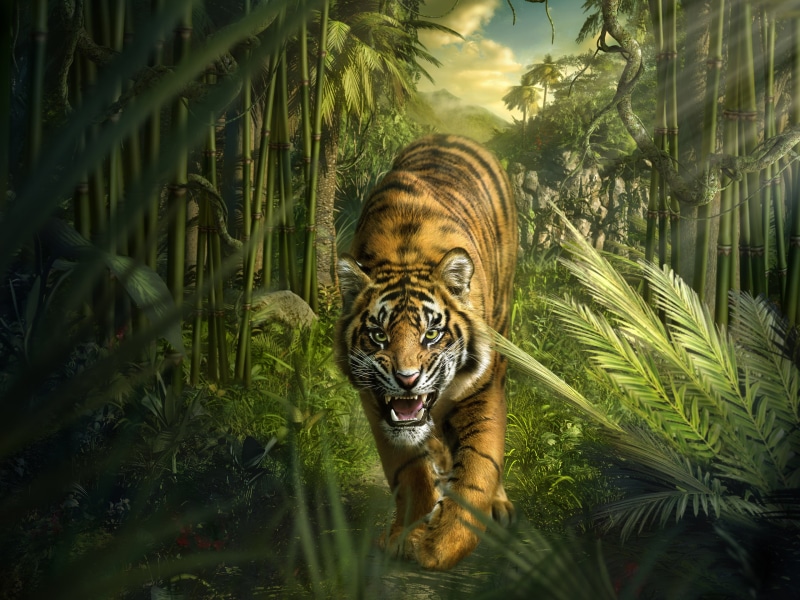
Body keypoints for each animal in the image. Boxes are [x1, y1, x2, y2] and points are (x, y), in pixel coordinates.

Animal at [335, 134, 518, 570]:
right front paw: (409, 533)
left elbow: (479, 469)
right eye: (378, 336)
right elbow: (408, 467)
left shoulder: (483, 390)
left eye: (431, 334)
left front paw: (443, 546)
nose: (407, 380)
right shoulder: (375, 402)